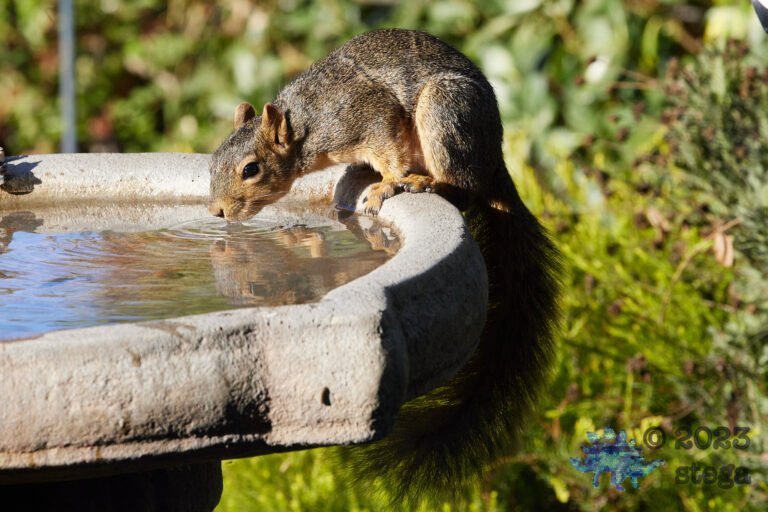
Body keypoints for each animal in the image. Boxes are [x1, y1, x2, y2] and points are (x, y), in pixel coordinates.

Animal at [208, 29, 560, 502]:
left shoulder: (369, 117)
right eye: (212, 163)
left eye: (251, 169)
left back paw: (423, 182)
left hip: (445, 112)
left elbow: (389, 150)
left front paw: (387, 184)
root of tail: (494, 159)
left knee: (463, 187)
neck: (308, 125)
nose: (217, 212)